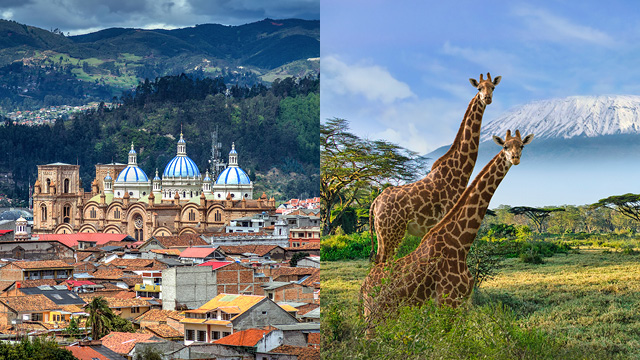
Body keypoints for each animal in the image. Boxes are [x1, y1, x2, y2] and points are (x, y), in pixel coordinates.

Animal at [360, 129, 536, 324]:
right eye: (505, 146)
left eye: (522, 145)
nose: (515, 158)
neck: (459, 242)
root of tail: (363, 288)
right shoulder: (448, 301)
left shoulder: (462, 302)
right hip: (375, 314)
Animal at [370, 73, 500, 264]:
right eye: (479, 88)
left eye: (493, 87)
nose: (487, 98)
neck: (459, 172)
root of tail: (375, 202)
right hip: (391, 232)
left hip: (383, 234)